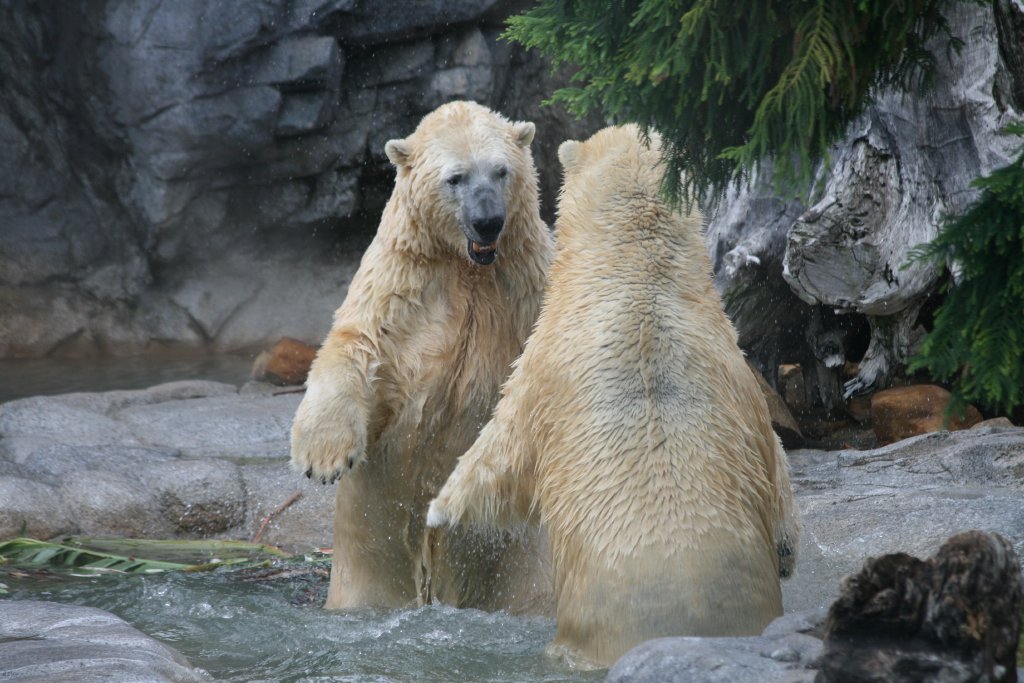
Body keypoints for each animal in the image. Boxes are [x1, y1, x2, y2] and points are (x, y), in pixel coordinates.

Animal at [290, 101, 554, 613]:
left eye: (501, 170)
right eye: (455, 177)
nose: (489, 220)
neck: (468, 270)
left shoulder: (529, 286)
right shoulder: (400, 285)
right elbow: (358, 347)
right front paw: (324, 458)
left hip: (521, 557)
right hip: (369, 561)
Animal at [427, 124, 801, 667]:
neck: (636, 274)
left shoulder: (543, 363)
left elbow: (501, 447)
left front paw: (439, 511)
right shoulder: (738, 373)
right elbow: (776, 456)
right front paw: (788, 549)